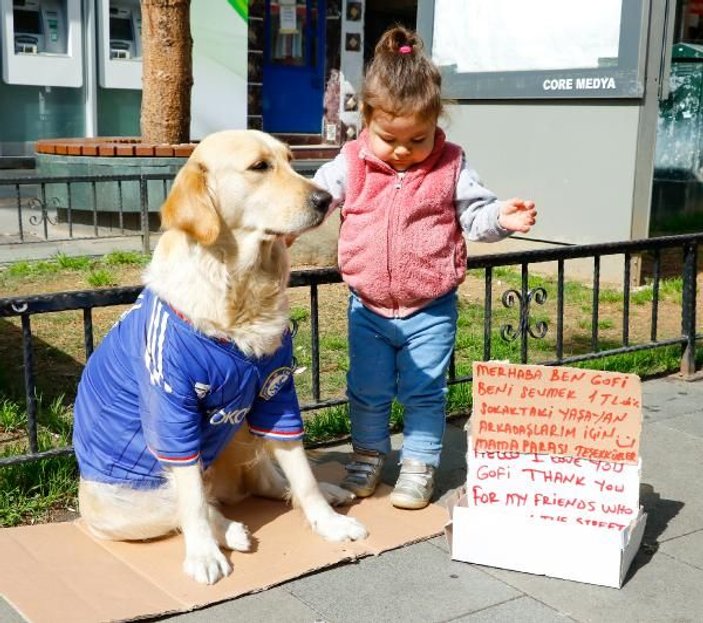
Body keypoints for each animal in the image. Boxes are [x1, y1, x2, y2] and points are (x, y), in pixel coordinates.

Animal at [71, 129, 368, 588]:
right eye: (260, 167)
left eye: (289, 160)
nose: (325, 199)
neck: (239, 290)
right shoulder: (171, 409)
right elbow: (192, 501)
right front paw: (204, 556)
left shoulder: (276, 390)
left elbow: (301, 474)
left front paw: (328, 522)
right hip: (126, 503)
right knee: (189, 505)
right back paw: (229, 532)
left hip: (240, 434)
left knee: (267, 479)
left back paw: (325, 493)